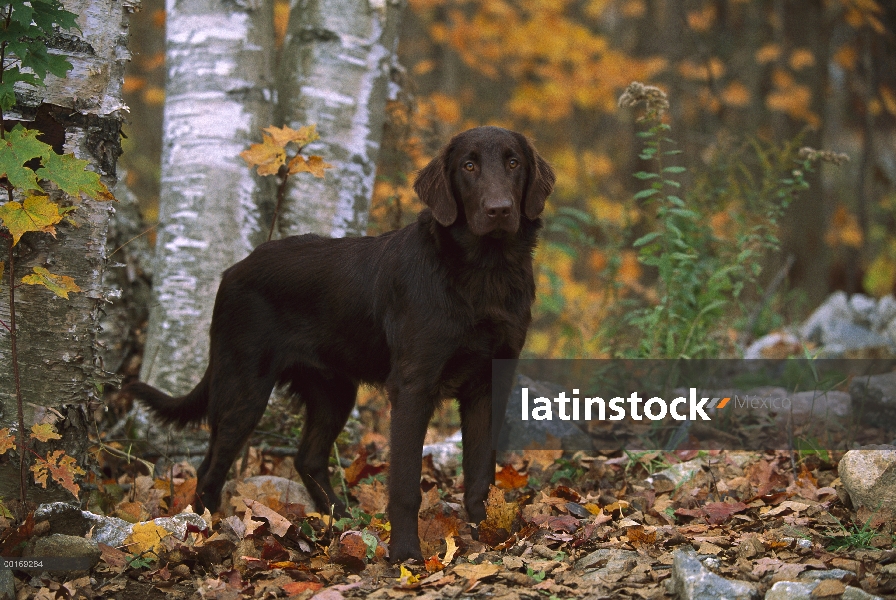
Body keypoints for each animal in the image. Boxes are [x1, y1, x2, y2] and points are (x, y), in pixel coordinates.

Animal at [128, 126, 552, 564]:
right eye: (468, 166)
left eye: (513, 162)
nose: (499, 209)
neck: (484, 272)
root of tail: (232, 270)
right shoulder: (413, 385)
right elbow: (405, 485)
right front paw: (406, 554)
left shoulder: (488, 384)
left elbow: (481, 471)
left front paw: (487, 534)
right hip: (244, 387)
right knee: (212, 465)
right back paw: (207, 530)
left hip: (333, 390)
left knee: (307, 458)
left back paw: (344, 519)